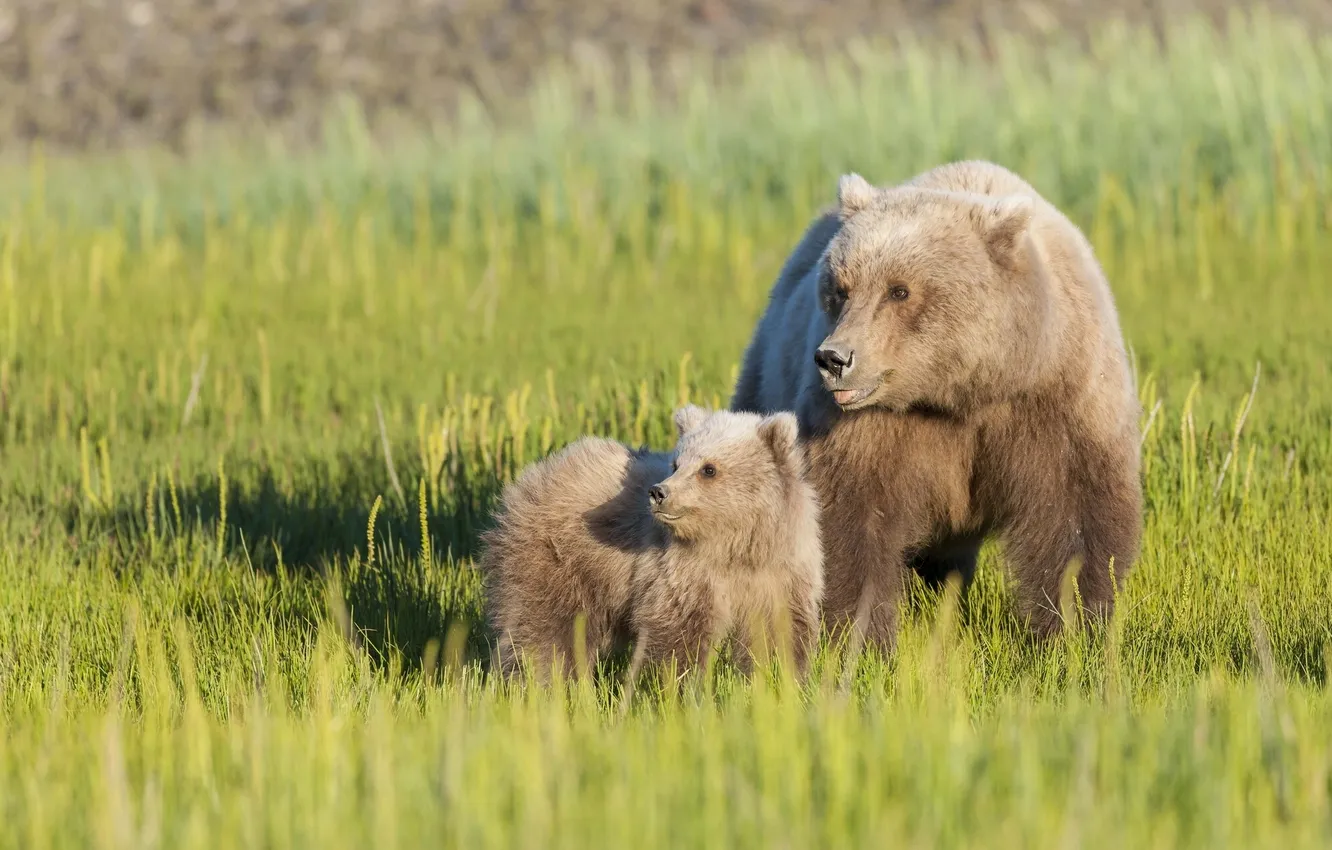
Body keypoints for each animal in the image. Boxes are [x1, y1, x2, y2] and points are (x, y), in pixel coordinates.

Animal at [477, 404, 824, 685]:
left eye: (708, 468)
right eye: (676, 463)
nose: (659, 492)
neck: (734, 546)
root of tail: (532, 475)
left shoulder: (779, 572)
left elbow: (777, 633)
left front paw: (780, 681)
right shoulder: (681, 571)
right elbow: (677, 636)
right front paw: (674, 688)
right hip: (557, 561)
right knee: (547, 629)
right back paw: (540, 682)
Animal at [730, 159, 1143, 660]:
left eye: (899, 290)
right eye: (840, 288)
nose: (833, 358)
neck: (961, 391)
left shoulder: (1056, 401)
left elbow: (1075, 517)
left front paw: (1072, 631)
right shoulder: (869, 428)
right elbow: (848, 515)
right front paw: (860, 640)